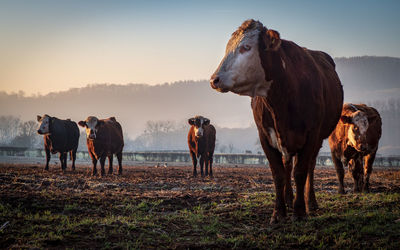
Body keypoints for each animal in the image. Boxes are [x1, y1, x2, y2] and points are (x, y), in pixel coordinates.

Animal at [209, 20, 344, 223]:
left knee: (310, 167)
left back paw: (310, 203)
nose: (214, 79)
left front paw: (299, 212)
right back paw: (288, 199)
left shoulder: (312, 135)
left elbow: (301, 172)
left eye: (246, 47)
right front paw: (278, 212)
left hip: (318, 139)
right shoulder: (265, 136)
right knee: (287, 164)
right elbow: (278, 174)